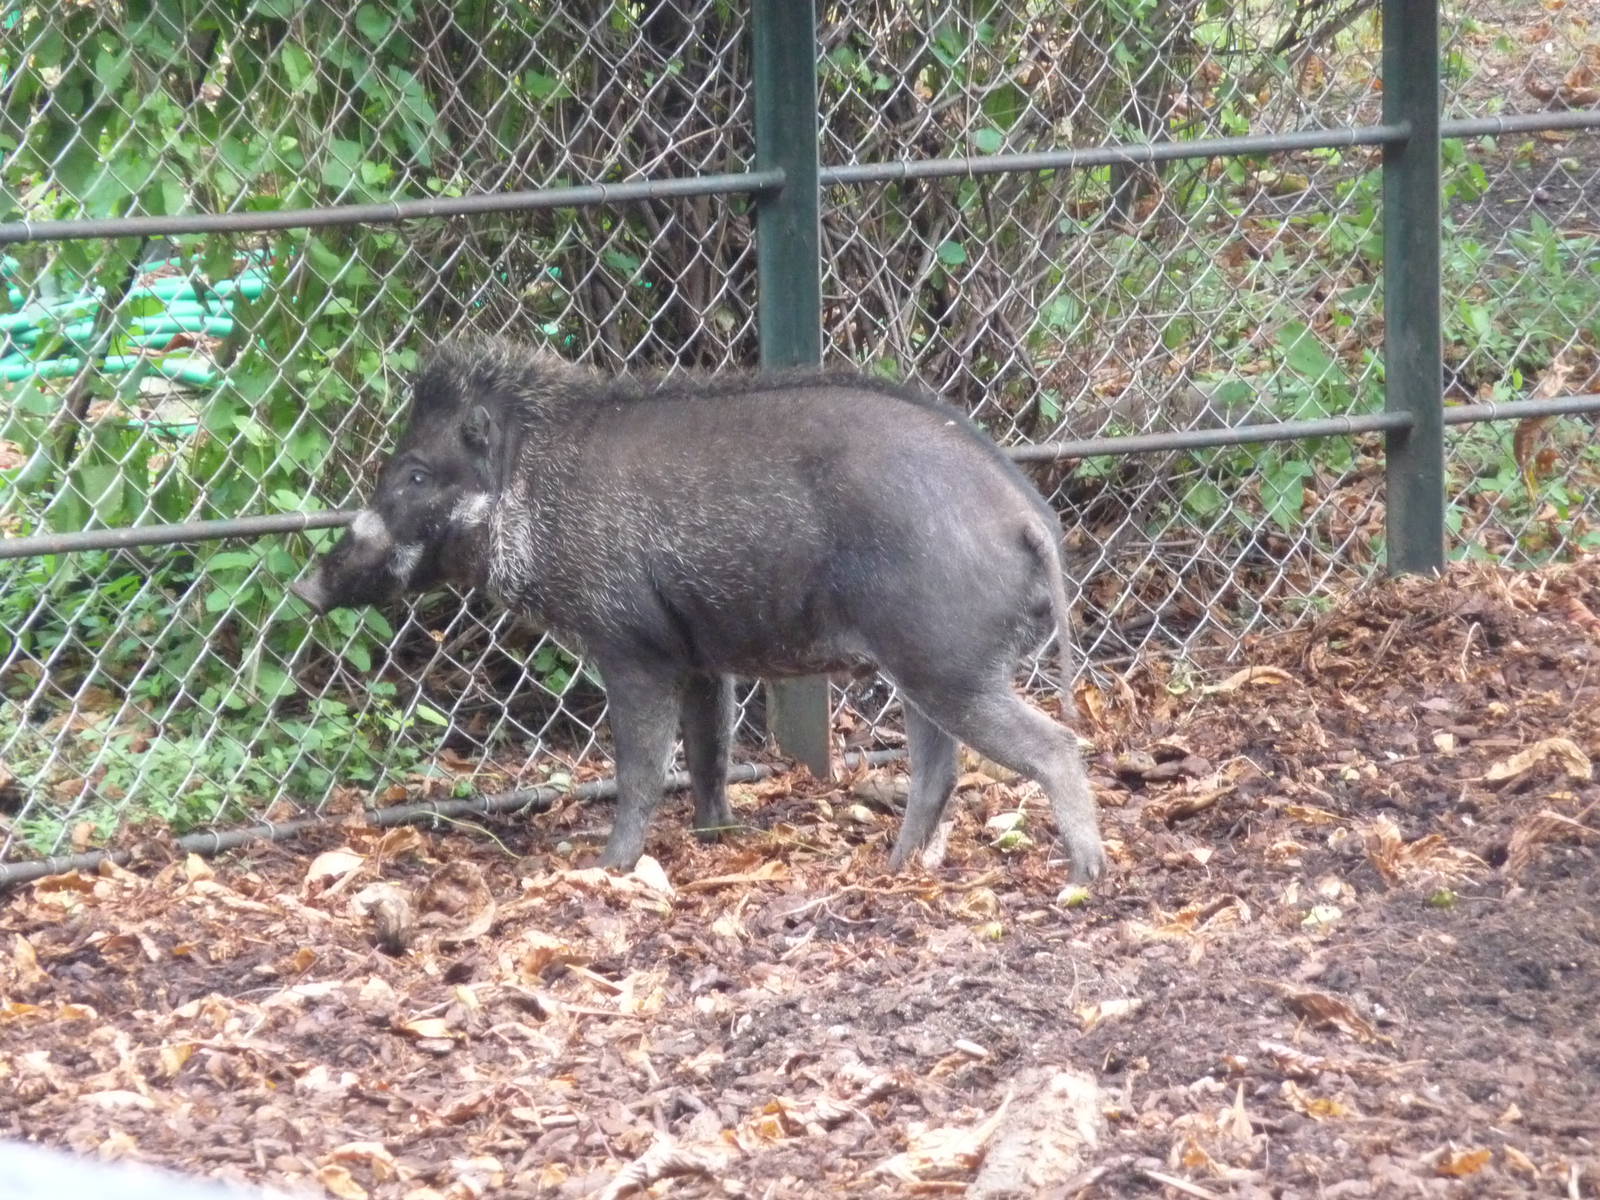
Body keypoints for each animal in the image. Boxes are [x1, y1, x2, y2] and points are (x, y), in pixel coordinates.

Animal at [291, 339, 1107, 882]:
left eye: (416, 473)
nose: (305, 588)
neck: (528, 486)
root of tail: (1031, 520)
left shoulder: (630, 648)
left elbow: (642, 766)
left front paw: (605, 867)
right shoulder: (701, 656)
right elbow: (709, 752)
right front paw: (716, 836)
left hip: (948, 663)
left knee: (1051, 744)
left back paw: (1080, 879)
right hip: (924, 669)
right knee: (940, 770)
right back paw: (894, 868)